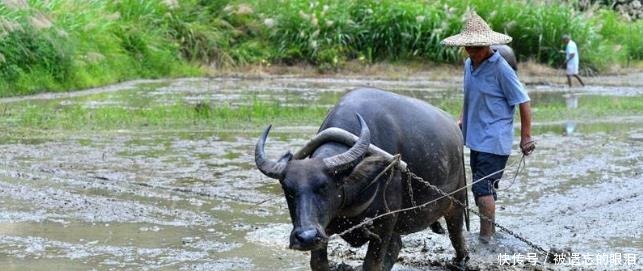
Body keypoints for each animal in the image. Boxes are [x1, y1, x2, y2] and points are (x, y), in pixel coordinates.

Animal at [255, 88, 468, 270]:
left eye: (325, 187)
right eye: (288, 190)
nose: (306, 237)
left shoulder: (384, 225)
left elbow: (372, 265)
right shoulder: (324, 228)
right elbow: (318, 263)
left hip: (456, 202)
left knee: (456, 234)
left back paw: (460, 260)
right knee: (397, 245)